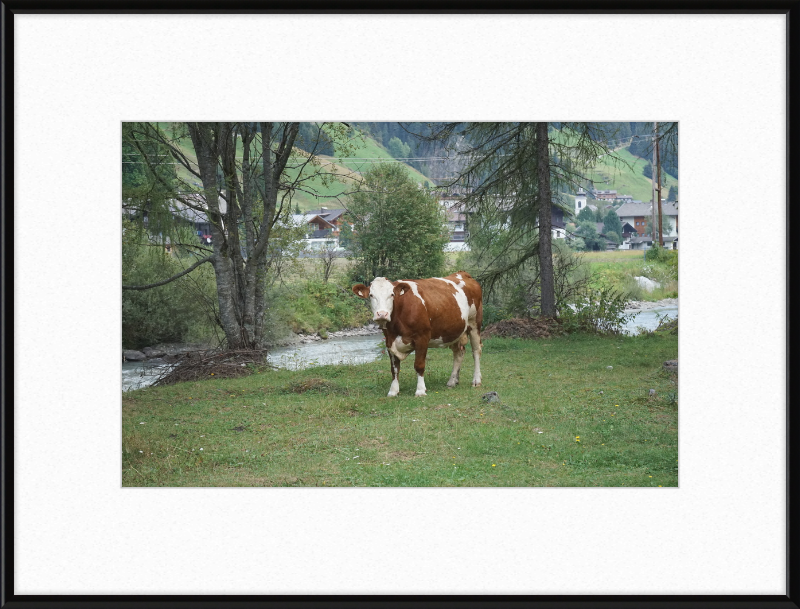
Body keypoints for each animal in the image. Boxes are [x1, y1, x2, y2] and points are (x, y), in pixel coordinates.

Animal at [352, 272, 482, 396]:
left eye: (392, 295)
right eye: (371, 295)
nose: (382, 314)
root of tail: (462, 273)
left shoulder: (422, 338)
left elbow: (419, 365)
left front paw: (420, 390)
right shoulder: (389, 341)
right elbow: (394, 369)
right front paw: (393, 391)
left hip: (474, 323)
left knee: (476, 351)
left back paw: (476, 380)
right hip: (455, 331)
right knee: (459, 353)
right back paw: (452, 381)